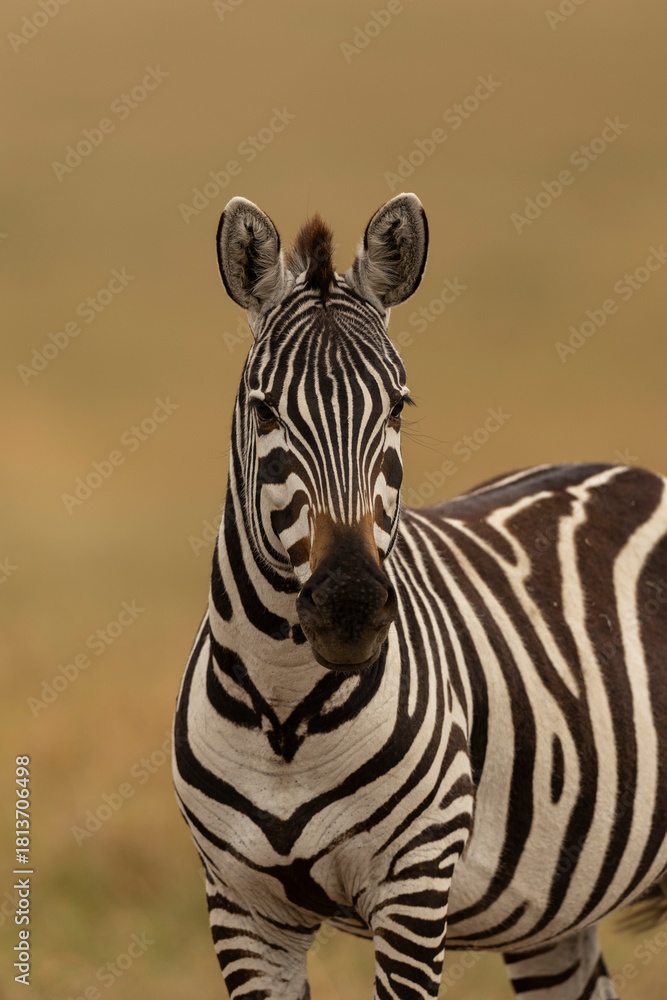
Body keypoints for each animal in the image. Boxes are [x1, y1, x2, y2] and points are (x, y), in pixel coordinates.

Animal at [172, 192, 667, 1000]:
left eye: (398, 408)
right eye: (266, 412)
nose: (348, 607)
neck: (284, 715)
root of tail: (637, 474)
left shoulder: (414, 884)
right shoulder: (242, 909)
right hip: (553, 910)